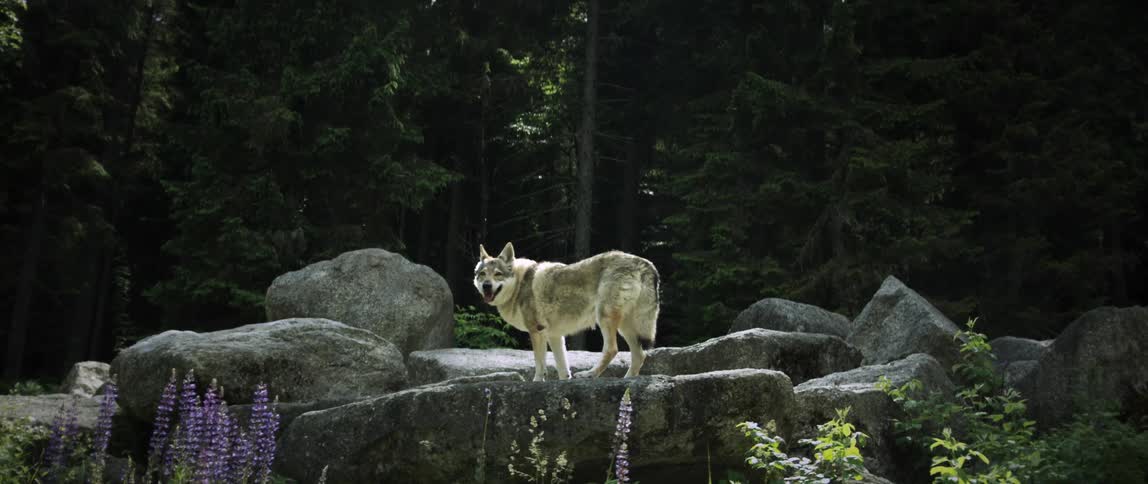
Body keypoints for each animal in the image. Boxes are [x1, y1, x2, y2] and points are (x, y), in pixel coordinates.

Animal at [473, 242, 659, 381]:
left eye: (498, 274)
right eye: (482, 274)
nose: (486, 286)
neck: (519, 285)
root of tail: (644, 263)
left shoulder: (536, 331)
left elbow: (539, 363)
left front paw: (537, 382)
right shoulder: (554, 335)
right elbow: (562, 368)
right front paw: (564, 382)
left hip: (605, 319)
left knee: (612, 349)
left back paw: (590, 374)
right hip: (625, 326)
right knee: (639, 355)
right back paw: (628, 380)